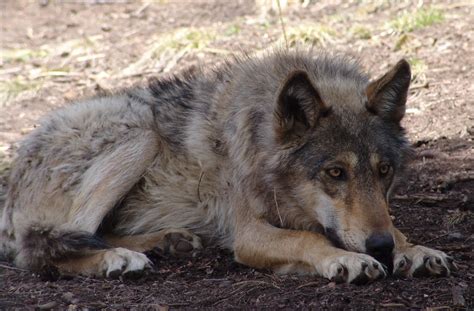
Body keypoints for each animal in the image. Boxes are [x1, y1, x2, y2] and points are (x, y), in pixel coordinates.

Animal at [0, 49, 454, 286]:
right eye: (335, 173)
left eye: (384, 171)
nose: (379, 247)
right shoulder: (249, 233)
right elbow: (308, 240)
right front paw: (351, 260)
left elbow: (393, 225)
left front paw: (413, 249)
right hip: (139, 133)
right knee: (39, 250)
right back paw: (118, 259)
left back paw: (166, 242)